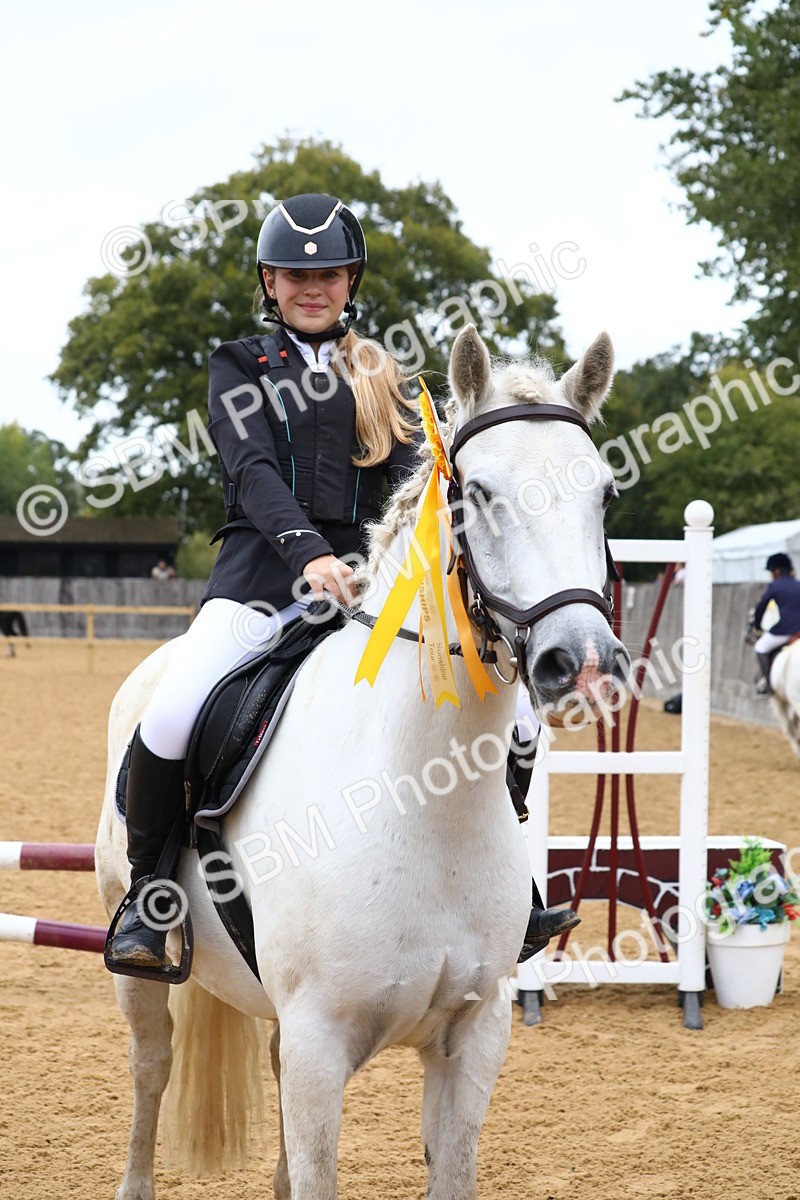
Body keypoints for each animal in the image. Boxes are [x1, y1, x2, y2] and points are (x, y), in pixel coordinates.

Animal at [95, 324, 629, 1200]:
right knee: (150, 1068)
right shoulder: (321, 1045)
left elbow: (447, 1171)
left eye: (605, 494)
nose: (580, 664)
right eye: (479, 493)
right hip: (139, 969)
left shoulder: (473, 1037)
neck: (423, 798)